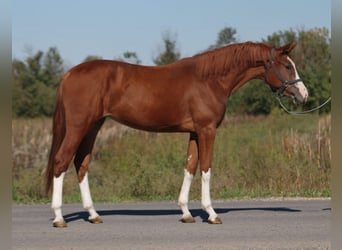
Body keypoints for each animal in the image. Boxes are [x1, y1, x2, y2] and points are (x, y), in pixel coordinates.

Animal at [44, 42, 308, 228]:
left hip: (93, 126)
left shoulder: (194, 132)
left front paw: (186, 213)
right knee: (61, 161)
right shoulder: (207, 129)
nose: (303, 95)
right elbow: (206, 169)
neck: (210, 79)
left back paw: (93, 214)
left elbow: (190, 167)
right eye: (287, 66)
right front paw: (211, 213)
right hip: (78, 127)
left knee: (81, 164)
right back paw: (59, 218)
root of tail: (69, 74)